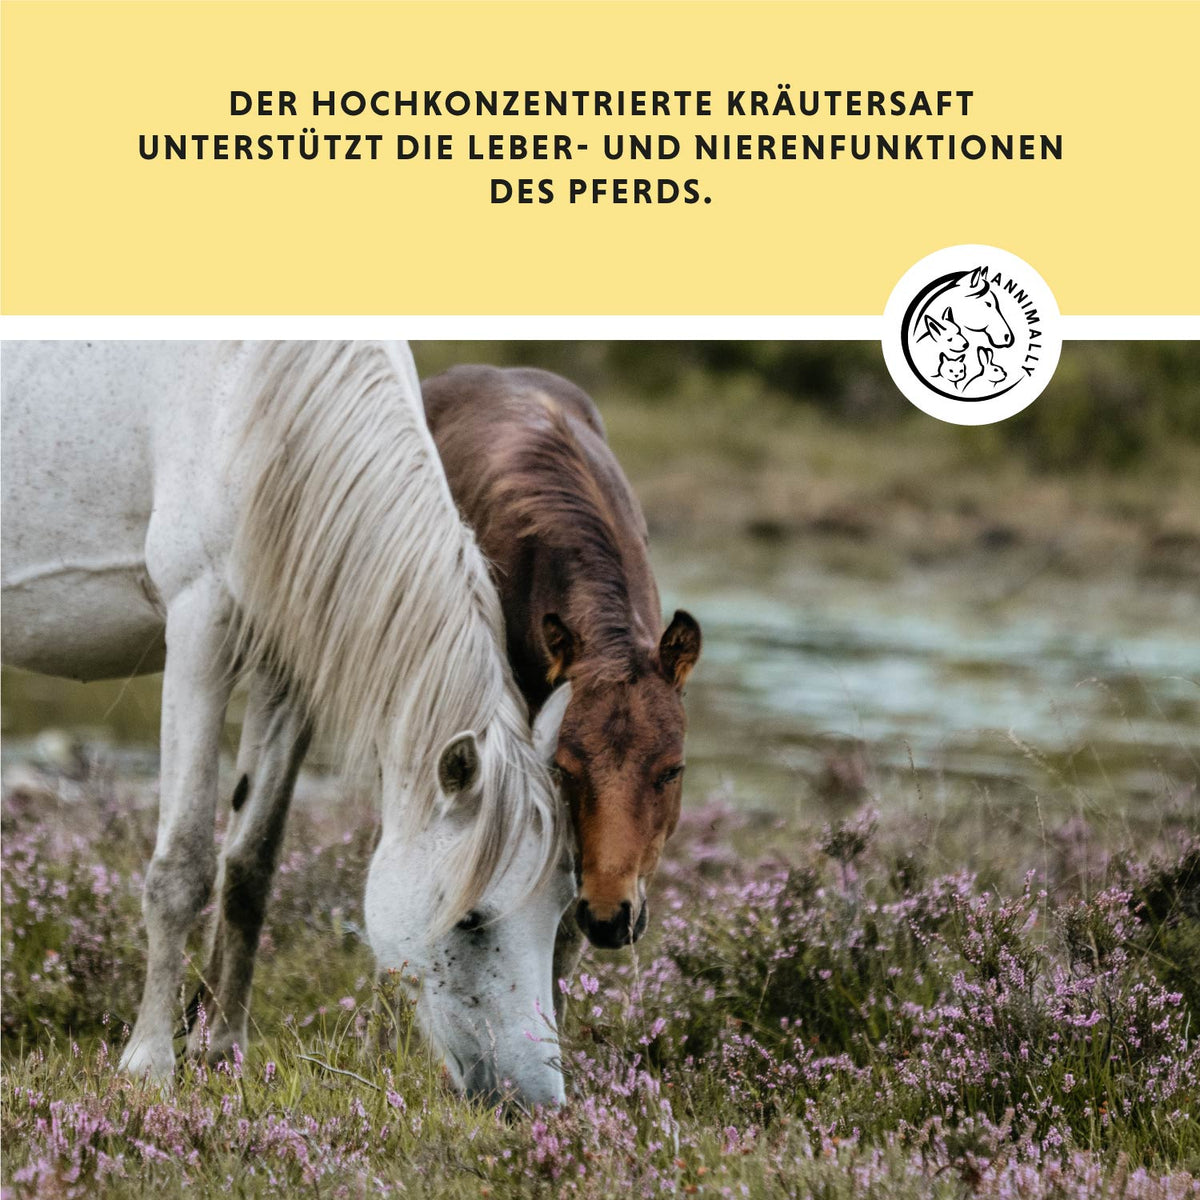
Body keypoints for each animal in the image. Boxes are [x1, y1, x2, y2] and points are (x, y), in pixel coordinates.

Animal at [1, 341, 573, 1107]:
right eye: (472, 918)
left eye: (562, 911)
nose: (537, 1104)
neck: (257, 388)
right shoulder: (201, 623)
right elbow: (181, 868)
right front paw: (149, 1063)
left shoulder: (290, 656)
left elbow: (251, 867)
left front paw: (223, 1052)